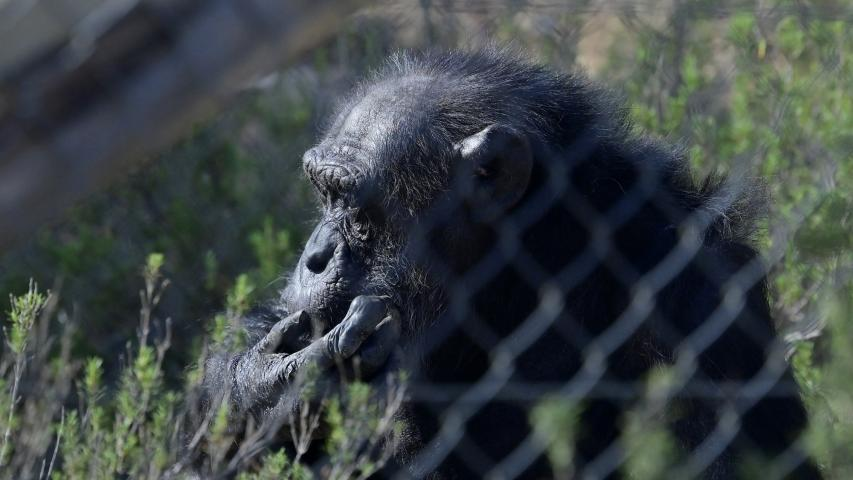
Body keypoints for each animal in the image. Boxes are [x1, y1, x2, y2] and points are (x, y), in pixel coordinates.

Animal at [193, 49, 820, 480]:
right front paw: (274, 383)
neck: (525, 276)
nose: (315, 257)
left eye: (353, 202)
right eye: (323, 194)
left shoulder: (699, 295)